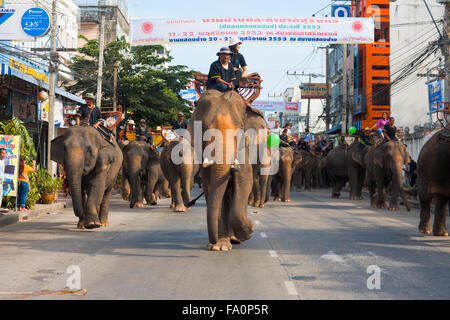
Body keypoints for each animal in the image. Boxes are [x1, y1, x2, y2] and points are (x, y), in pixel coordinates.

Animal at [187, 89, 256, 251]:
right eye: (204, 129)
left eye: (240, 129)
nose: (211, 242)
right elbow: (210, 187)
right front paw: (219, 247)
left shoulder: (244, 149)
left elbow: (245, 181)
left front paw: (248, 231)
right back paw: (226, 240)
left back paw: (234, 239)